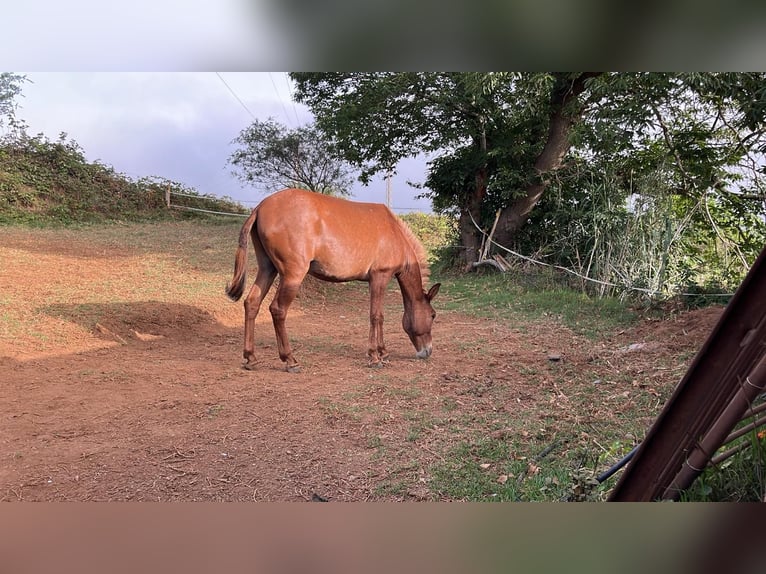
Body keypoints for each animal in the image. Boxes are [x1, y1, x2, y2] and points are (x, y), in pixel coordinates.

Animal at [225, 189, 440, 374]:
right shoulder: (380, 277)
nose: (427, 351)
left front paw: (383, 352)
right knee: (278, 310)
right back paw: (290, 360)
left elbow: (378, 316)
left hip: (268, 269)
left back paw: (251, 357)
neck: (395, 233)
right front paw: (375, 356)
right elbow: (376, 316)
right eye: (433, 315)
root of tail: (261, 207)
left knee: (252, 303)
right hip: (292, 275)